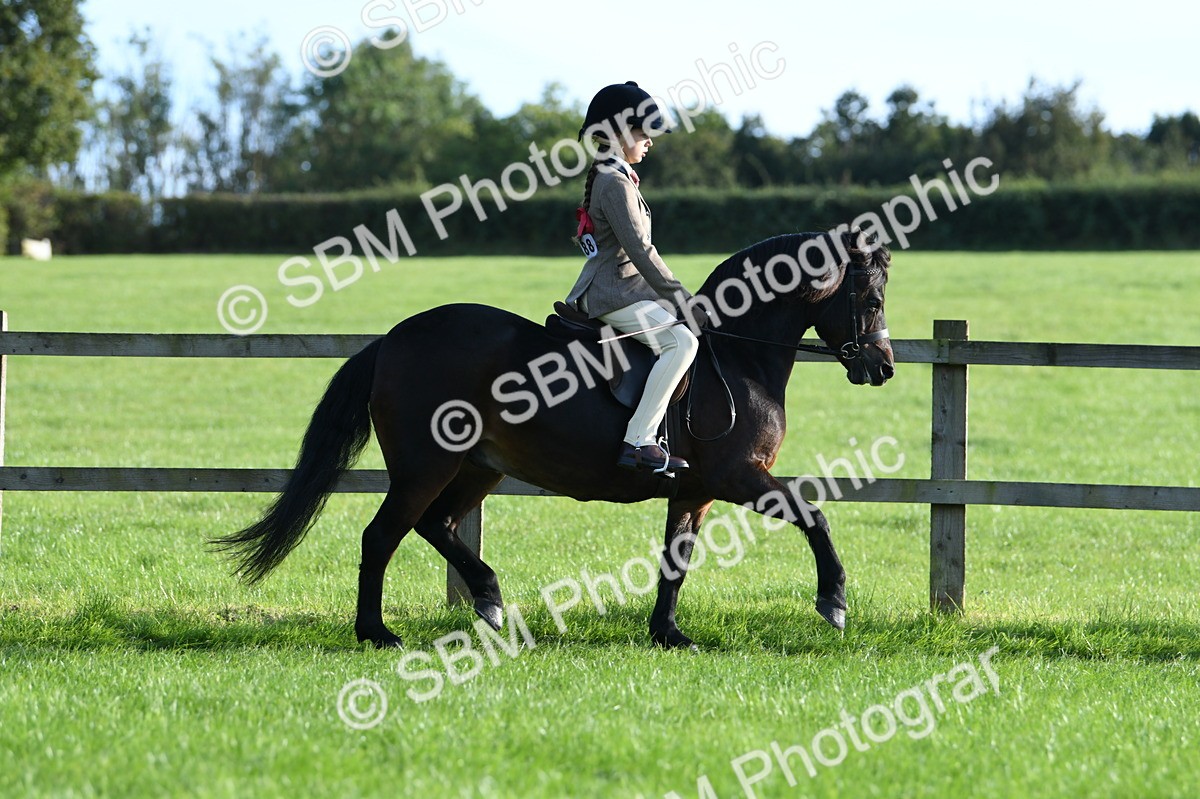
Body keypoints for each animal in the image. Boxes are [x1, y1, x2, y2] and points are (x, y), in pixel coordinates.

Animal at [212, 228, 893, 649]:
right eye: (869, 296)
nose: (881, 366)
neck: (738, 355)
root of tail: (393, 339)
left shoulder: (695, 490)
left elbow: (675, 559)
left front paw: (667, 634)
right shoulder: (739, 476)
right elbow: (813, 516)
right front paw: (834, 601)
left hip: (478, 467)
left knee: (439, 525)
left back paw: (488, 601)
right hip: (425, 465)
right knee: (382, 536)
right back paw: (376, 633)